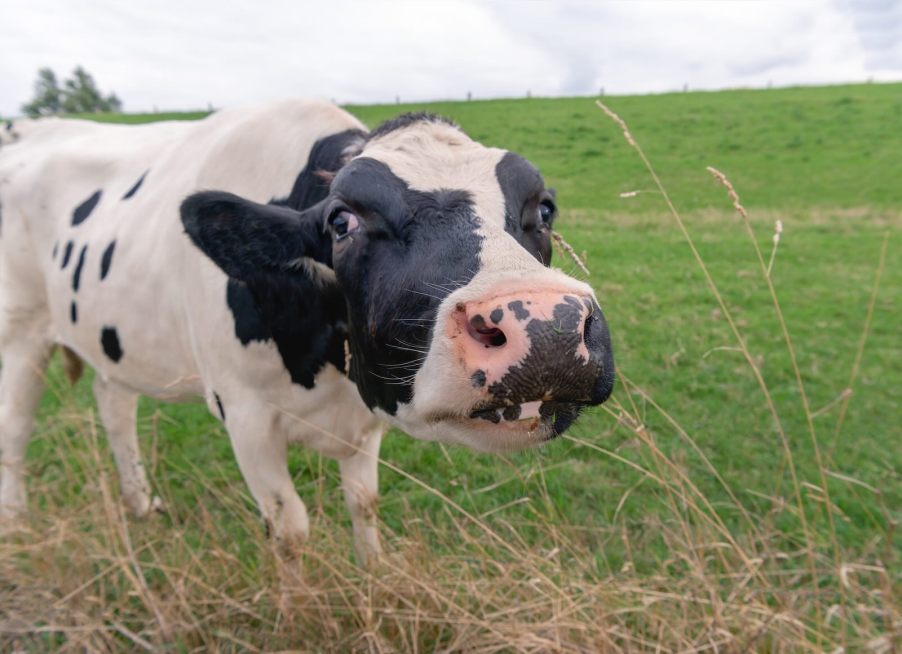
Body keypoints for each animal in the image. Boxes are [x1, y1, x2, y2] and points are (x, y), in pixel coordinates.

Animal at [0, 100, 614, 563]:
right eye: (341, 221)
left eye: (545, 209)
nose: (548, 325)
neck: (329, 376)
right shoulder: (244, 414)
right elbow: (289, 529)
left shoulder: (363, 421)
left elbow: (364, 503)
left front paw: (374, 582)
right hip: (21, 329)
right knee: (17, 426)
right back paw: (17, 522)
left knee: (114, 403)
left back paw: (140, 502)